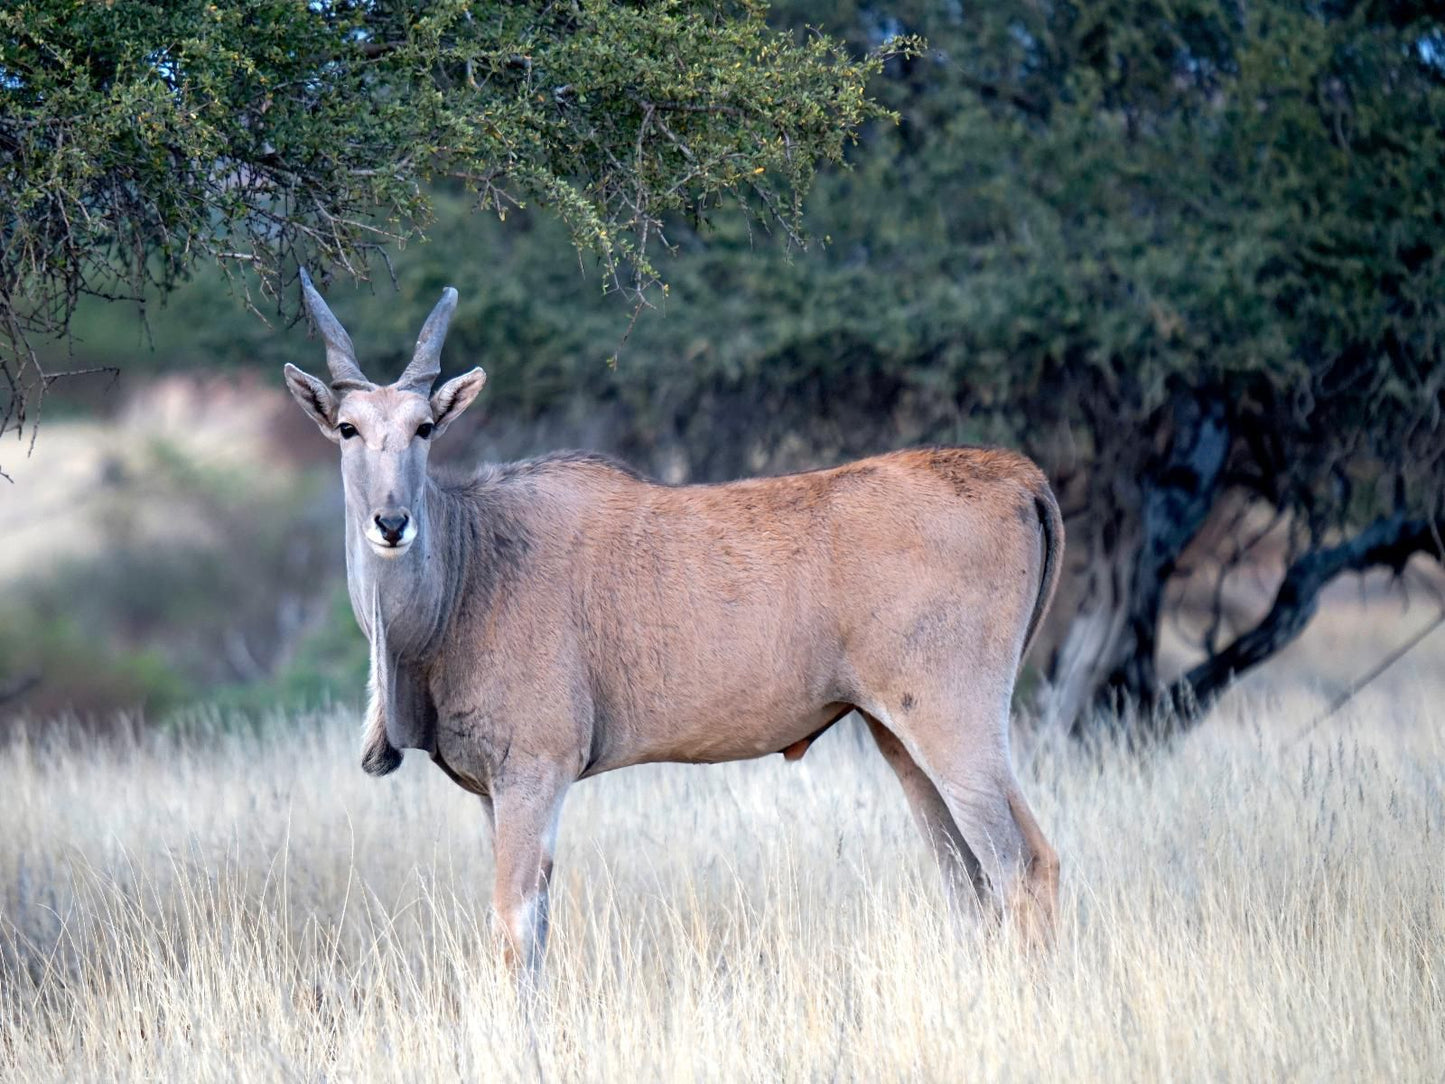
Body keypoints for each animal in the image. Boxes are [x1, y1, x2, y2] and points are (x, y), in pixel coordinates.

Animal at [284, 273, 1063, 982]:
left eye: (423, 428)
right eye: (349, 428)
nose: (391, 522)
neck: (470, 567)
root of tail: (1017, 475)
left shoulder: (535, 772)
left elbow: (516, 928)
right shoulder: (495, 793)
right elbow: (533, 928)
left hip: (951, 721)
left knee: (1022, 862)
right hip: (897, 736)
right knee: (968, 880)